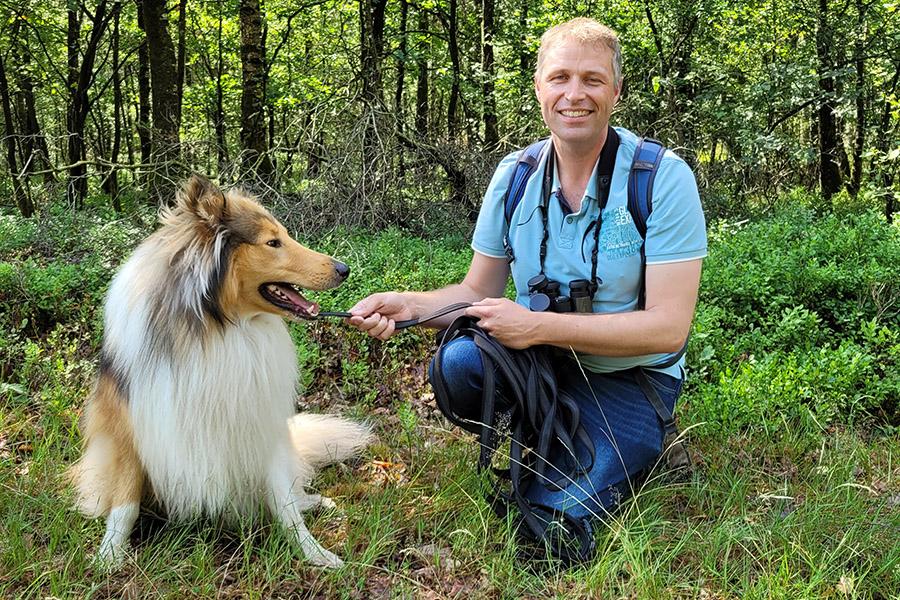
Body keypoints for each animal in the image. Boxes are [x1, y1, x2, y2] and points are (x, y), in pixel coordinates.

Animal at [68, 173, 372, 568]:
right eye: (272, 242)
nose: (344, 269)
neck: (218, 327)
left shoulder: (260, 424)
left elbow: (285, 503)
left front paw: (315, 553)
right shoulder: (129, 429)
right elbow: (125, 504)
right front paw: (110, 555)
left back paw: (315, 502)